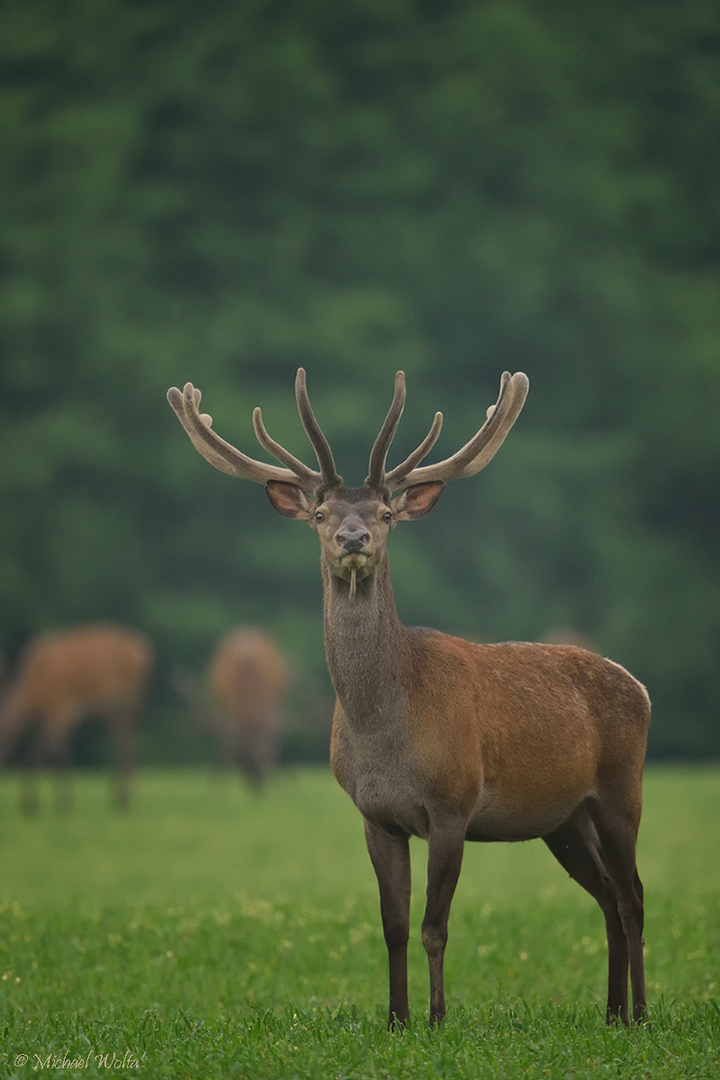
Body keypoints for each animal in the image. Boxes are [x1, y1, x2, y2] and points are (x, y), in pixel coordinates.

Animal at [0, 626, 152, 812]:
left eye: (2, 734)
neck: (32, 696)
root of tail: (144, 648)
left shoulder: (60, 709)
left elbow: (54, 752)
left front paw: (61, 803)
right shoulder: (52, 716)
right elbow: (38, 750)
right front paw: (31, 802)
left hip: (127, 699)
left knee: (126, 741)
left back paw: (124, 799)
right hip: (115, 708)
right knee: (123, 740)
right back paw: (118, 797)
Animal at [166, 371, 651, 1028]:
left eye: (386, 511)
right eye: (320, 511)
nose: (353, 537)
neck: (384, 730)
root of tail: (639, 686)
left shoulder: (452, 804)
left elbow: (434, 926)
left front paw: (438, 1017)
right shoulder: (376, 815)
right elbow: (393, 925)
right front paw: (396, 1018)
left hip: (621, 789)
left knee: (633, 895)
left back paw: (641, 1015)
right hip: (564, 818)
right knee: (606, 896)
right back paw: (611, 1013)